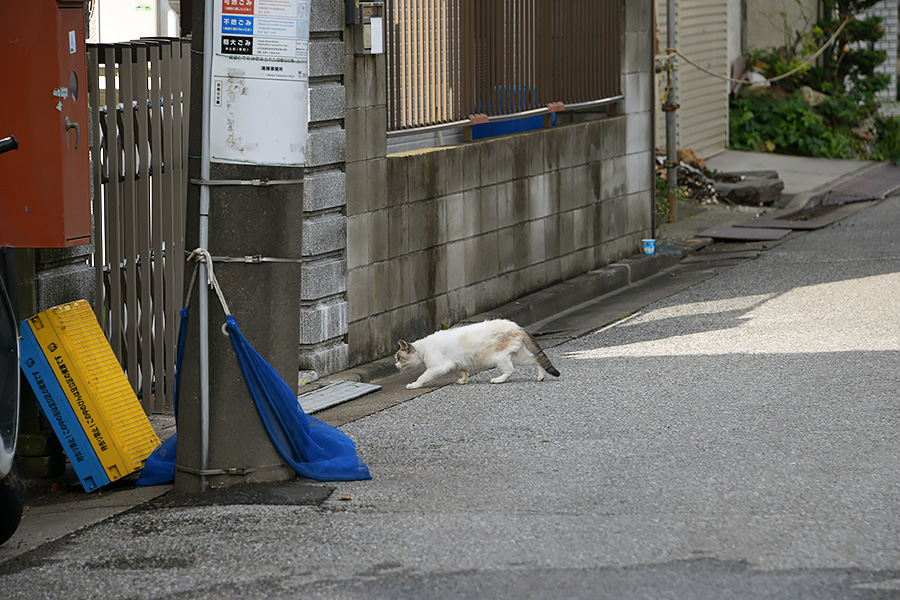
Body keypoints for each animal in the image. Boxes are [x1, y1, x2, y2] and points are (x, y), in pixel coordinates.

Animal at [396, 318, 560, 390]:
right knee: (535, 359)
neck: (423, 348)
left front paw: (413, 385)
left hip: (499, 358)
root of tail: (516, 326)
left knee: (510, 370)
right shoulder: (459, 363)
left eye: (399, 358)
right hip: (519, 356)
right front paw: (462, 381)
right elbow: (464, 372)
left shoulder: (437, 367)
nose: (395, 365)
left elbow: (422, 377)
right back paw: (540, 376)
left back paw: (497, 380)